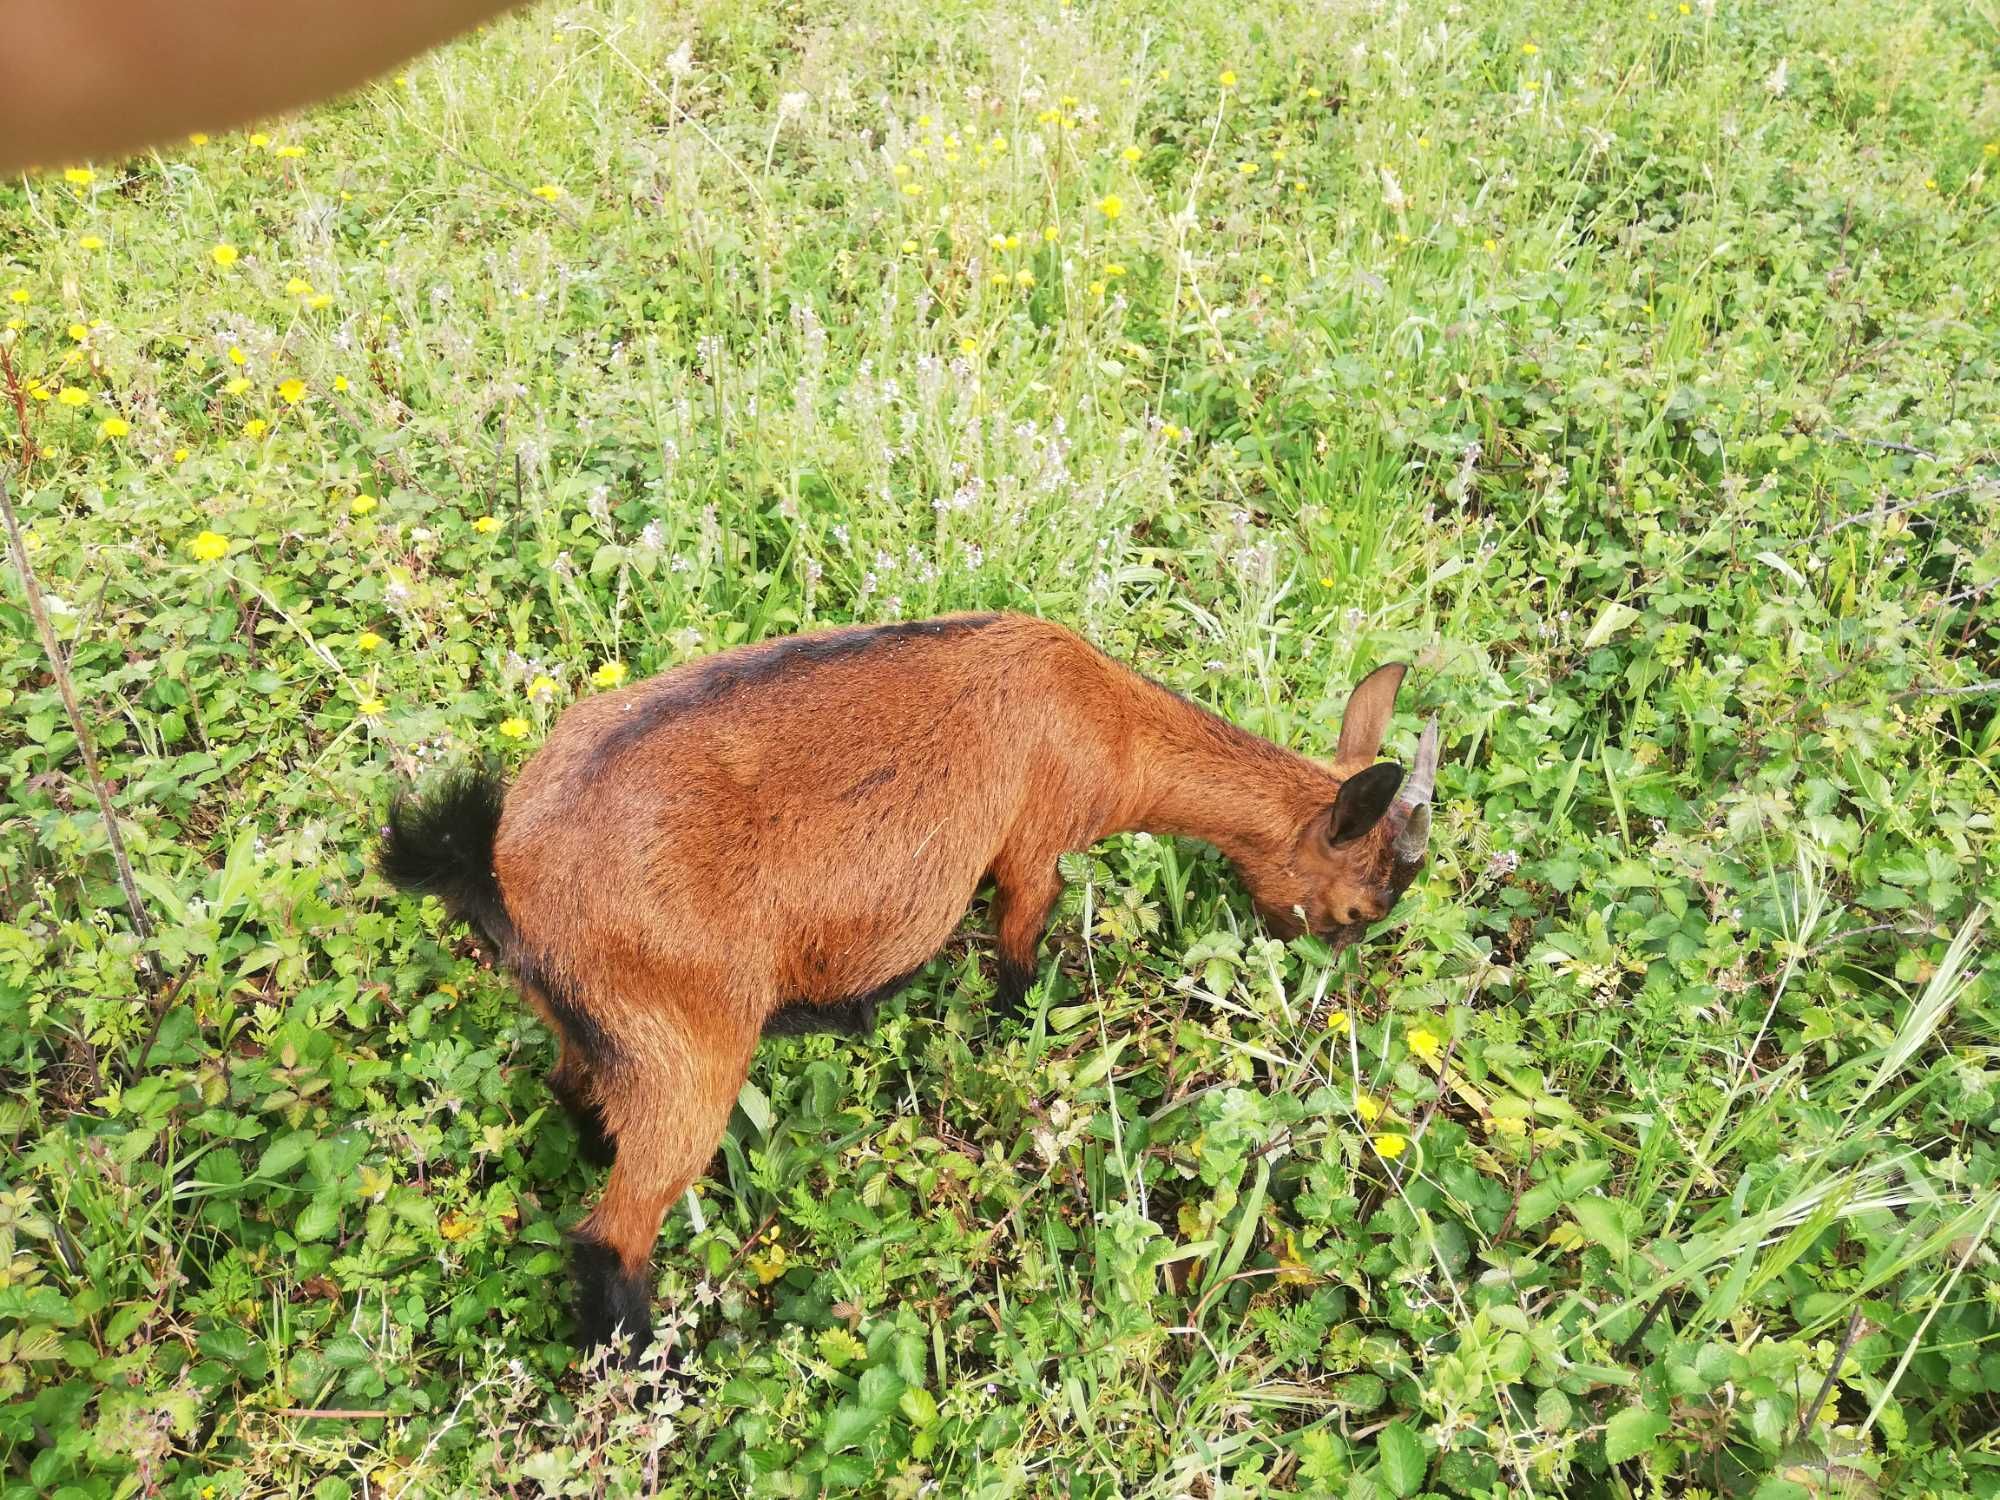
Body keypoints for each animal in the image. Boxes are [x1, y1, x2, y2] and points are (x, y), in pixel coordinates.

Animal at [376, 612, 1440, 1360]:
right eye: (1357, 907)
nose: (1327, 973)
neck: (1102, 715)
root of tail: (502, 867)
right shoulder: (1033, 842)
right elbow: (1018, 940)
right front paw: (1017, 1022)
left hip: (591, 1020)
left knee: (572, 1085)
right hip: (690, 1040)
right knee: (612, 1232)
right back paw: (643, 1367)